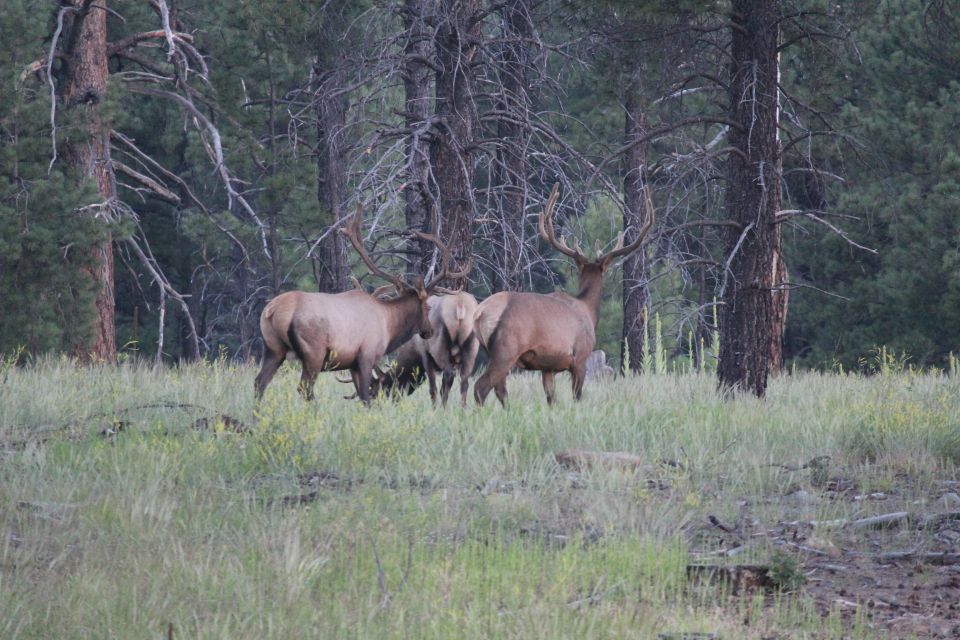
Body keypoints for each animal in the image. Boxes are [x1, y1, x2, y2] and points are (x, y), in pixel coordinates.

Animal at [254, 203, 468, 405]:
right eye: (428, 307)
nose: (429, 331)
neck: (389, 325)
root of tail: (273, 310)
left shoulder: (352, 363)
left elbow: (362, 395)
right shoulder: (367, 354)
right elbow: (365, 396)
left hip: (273, 348)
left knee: (259, 382)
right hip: (313, 351)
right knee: (304, 388)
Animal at [472, 183, 654, 406]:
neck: (588, 310)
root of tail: (480, 313)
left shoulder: (548, 366)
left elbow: (551, 398)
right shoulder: (581, 357)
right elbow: (577, 396)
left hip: (492, 351)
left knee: (499, 389)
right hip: (506, 349)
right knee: (481, 387)